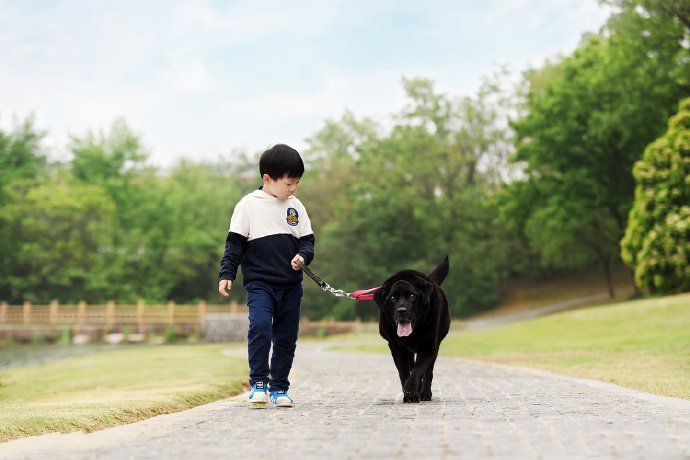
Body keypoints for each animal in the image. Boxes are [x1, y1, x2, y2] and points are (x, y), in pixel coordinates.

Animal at [374, 256, 448, 404]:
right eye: (393, 297)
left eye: (412, 296)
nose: (401, 311)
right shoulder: (396, 348)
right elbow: (404, 372)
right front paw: (408, 394)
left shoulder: (428, 346)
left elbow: (419, 370)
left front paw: (411, 389)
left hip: (435, 346)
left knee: (428, 371)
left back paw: (425, 393)